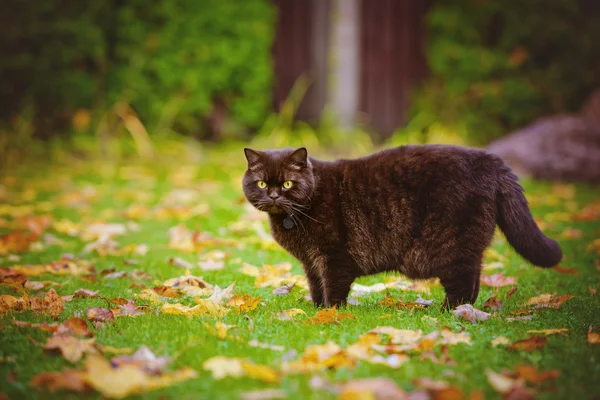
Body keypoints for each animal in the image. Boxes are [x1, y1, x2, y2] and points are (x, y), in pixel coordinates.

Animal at [240, 145, 564, 308]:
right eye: (261, 183)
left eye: (287, 183)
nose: (274, 195)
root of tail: (491, 160)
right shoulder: (311, 261)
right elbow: (315, 285)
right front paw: (318, 309)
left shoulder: (333, 256)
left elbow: (333, 286)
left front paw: (331, 313)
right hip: (470, 244)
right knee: (475, 279)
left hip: (450, 243)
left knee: (462, 280)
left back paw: (449, 312)